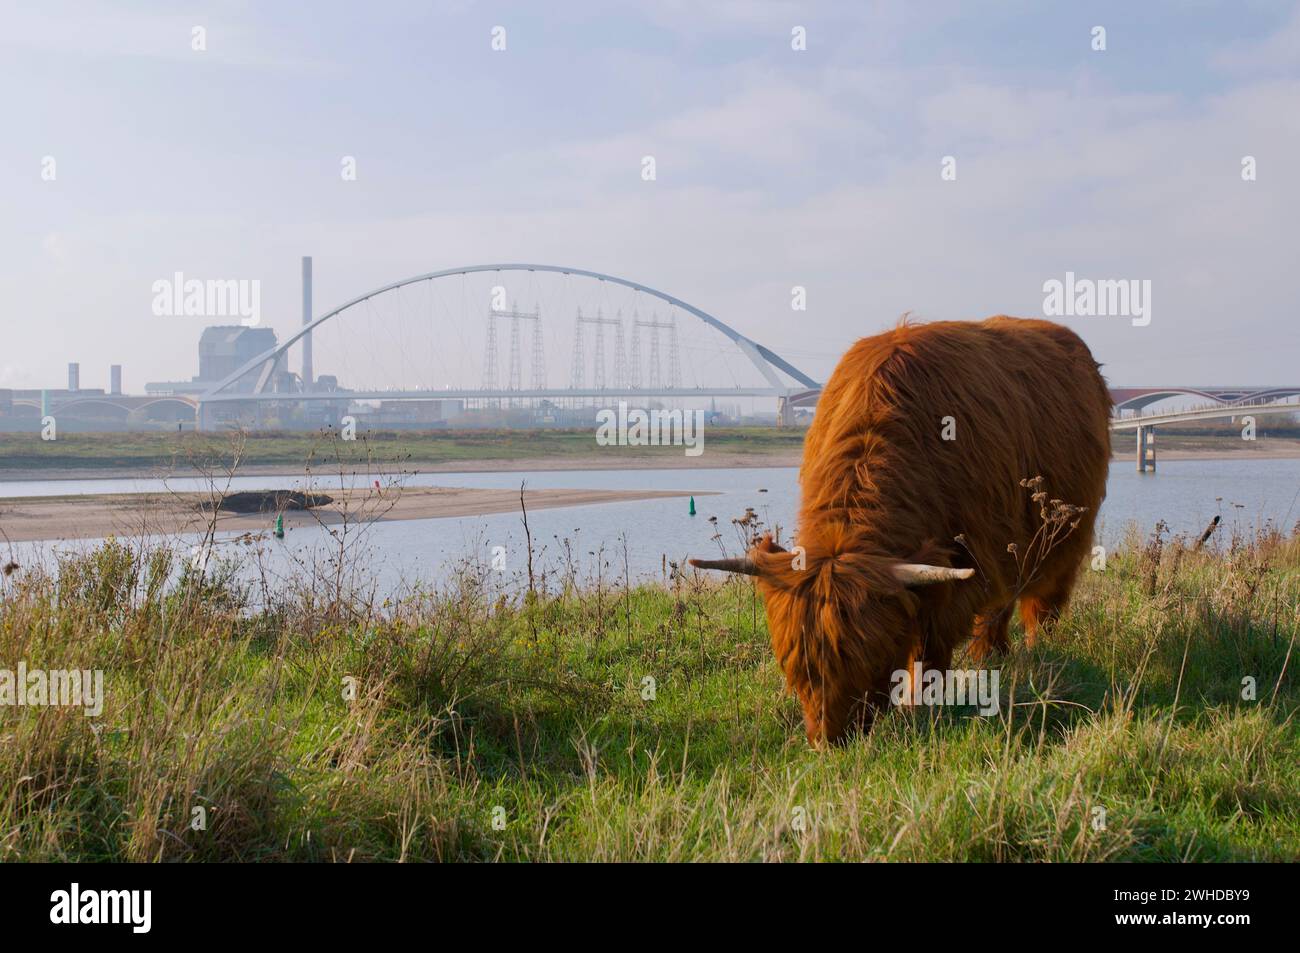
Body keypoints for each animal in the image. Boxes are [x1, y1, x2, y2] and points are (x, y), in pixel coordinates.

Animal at [691, 316, 1111, 745]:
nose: (829, 741)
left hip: (1062, 537)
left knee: (1042, 601)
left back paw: (1035, 646)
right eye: (796, 662)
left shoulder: (966, 560)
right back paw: (991, 656)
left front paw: (919, 706)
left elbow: (931, 644)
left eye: (867, 655)